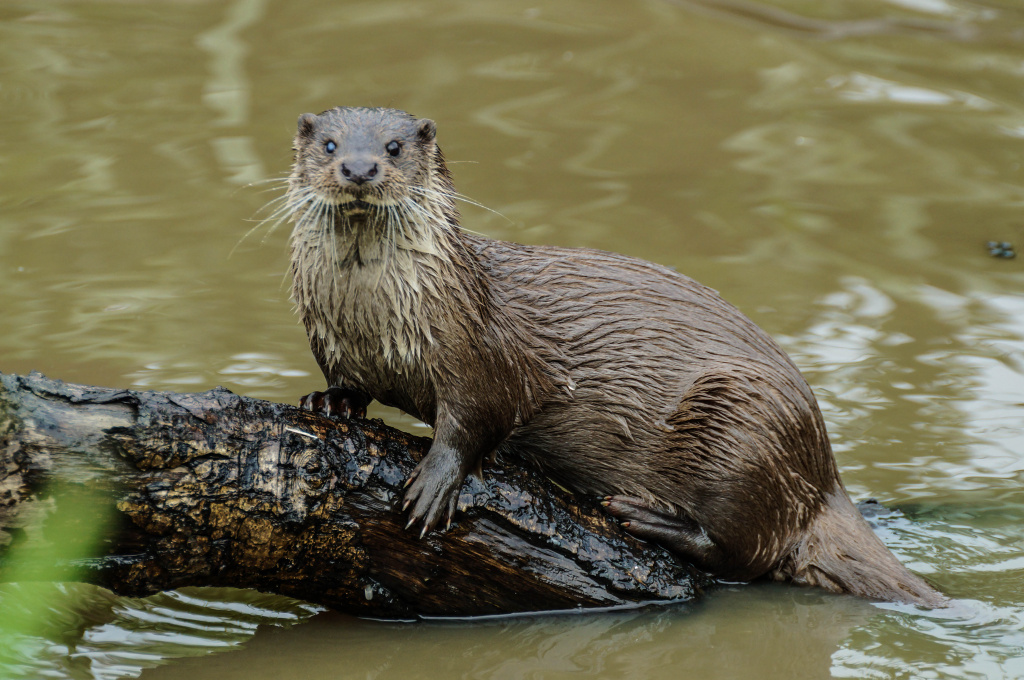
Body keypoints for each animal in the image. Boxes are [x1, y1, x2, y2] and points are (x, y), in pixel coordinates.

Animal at [284, 106, 945, 607]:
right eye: (330, 143)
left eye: (393, 147)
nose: (360, 167)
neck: (376, 322)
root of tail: (823, 473)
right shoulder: (335, 343)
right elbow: (346, 382)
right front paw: (329, 401)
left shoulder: (478, 352)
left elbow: (475, 420)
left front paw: (434, 485)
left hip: (744, 426)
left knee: (745, 551)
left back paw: (652, 519)